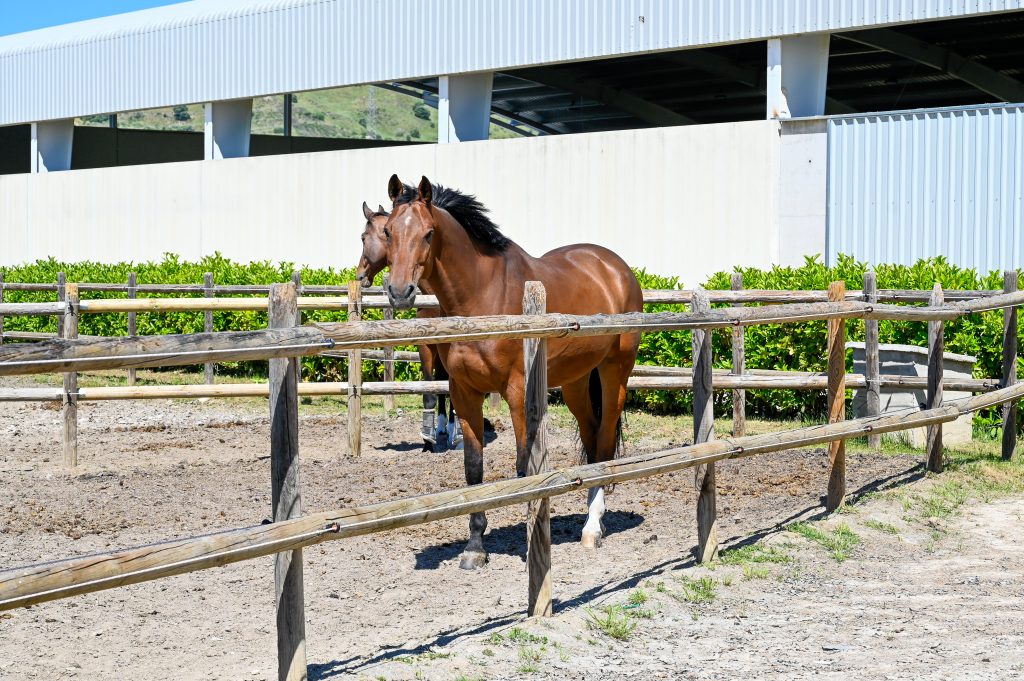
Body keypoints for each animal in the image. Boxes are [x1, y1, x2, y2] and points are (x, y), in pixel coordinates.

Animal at [357, 201, 463, 451]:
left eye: (363, 238)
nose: (359, 275)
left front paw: (455, 435)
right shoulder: (425, 346)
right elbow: (429, 389)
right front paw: (427, 437)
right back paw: (441, 428)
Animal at [380, 175, 642, 569]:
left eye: (428, 233)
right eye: (388, 231)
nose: (399, 291)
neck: (481, 298)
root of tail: (616, 268)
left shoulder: (517, 393)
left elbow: (523, 466)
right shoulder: (464, 393)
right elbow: (474, 467)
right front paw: (475, 547)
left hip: (615, 372)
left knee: (605, 438)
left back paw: (593, 527)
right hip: (577, 382)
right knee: (592, 435)